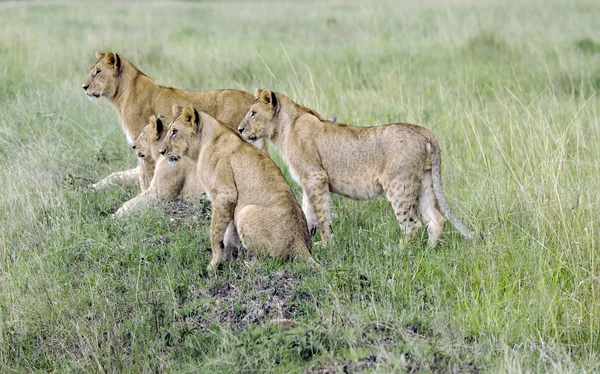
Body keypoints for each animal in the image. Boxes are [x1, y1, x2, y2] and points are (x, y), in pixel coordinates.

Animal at [239, 87, 474, 245]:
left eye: (253, 113)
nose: (240, 129)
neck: (285, 128)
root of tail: (423, 130)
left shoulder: (316, 177)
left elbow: (321, 215)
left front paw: (326, 244)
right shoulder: (308, 182)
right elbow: (308, 212)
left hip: (399, 184)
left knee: (412, 225)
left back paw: (399, 252)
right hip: (423, 182)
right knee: (437, 220)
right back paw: (429, 250)